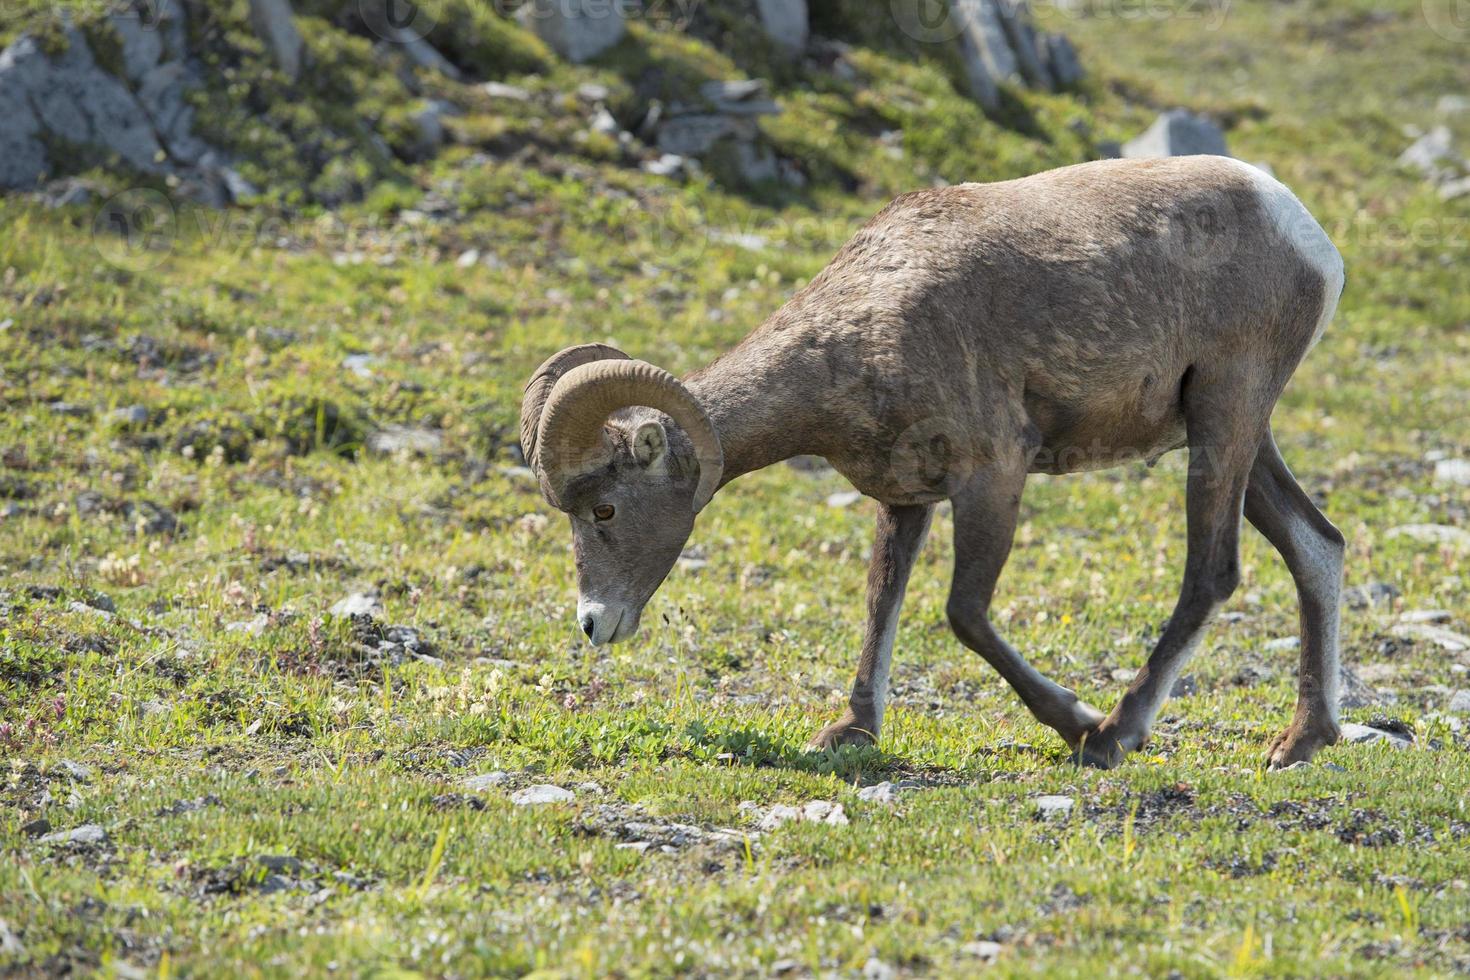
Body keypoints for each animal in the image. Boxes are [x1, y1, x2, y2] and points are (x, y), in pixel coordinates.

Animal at [520, 155, 1346, 764]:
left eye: (604, 508)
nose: (593, 624)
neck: (868, 319)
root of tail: (1306, 235)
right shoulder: (906, 498)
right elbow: (881, 600)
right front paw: (851, 731)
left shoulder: (993, 475)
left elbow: (963, 614)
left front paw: (1075, 722)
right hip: (1235, 434)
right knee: (1318, 547)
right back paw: (1301, 742)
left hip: (1224, 419)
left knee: (1213, 571)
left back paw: (1119, 732)